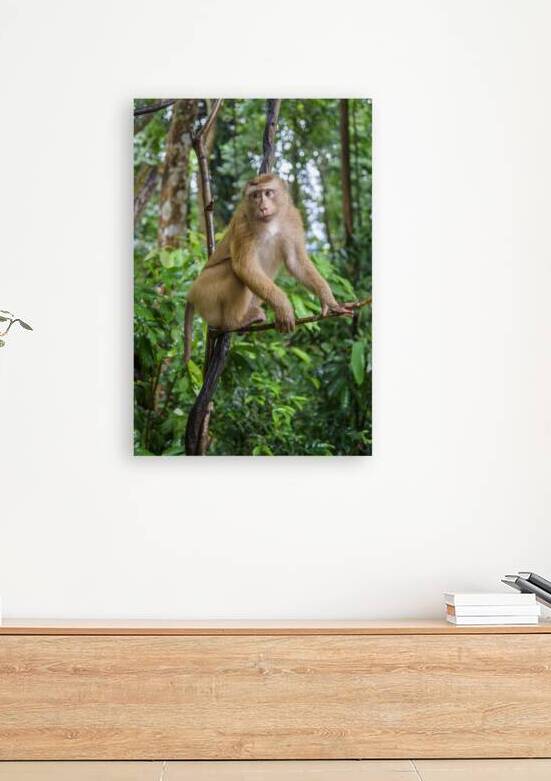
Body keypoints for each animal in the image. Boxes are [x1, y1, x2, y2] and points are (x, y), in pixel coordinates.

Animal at [183, 174, 353, 362]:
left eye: (268, 193)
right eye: (255, 195)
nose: (262, 207)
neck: (270, 222)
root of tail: (190, 294)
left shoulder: (293, 218)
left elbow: (295, 262)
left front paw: (329, 300)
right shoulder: (242, 221)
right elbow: (244, 266)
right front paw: (283, 307)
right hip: (205, 293)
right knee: (232, 271)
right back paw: (234, 322)